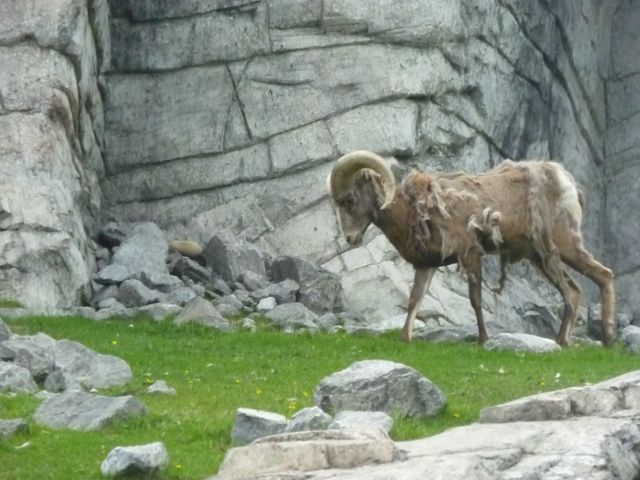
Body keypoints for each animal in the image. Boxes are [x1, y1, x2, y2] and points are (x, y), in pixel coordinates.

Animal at [326, 150, 616, 346]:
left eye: (349, 199)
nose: (350, 238)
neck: (413, 210)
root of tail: (567, 183)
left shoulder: (470, 255)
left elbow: (475, 300)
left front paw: (483, 340)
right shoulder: (426, 266)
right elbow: (414, 300)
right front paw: (405, 338)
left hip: (565, 247)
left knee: (603, 276)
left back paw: (606, 339)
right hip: (543, 258)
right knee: (573, 292)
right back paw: (562, 341)